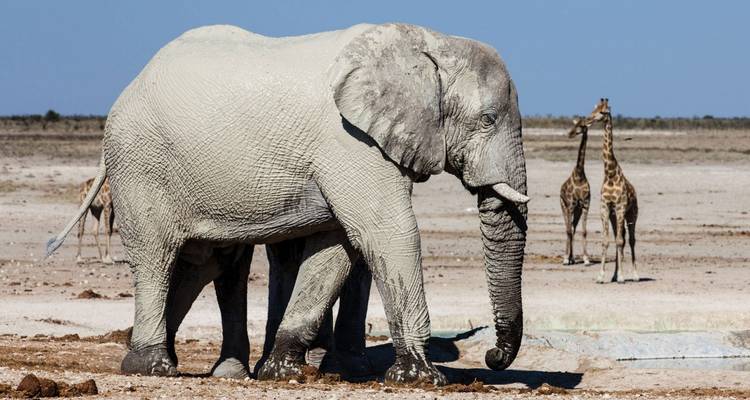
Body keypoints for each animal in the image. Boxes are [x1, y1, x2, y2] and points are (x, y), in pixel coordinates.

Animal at [47, 22, 528, 385]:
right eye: (488, 119)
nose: (493, 357)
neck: (428, 43)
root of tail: (130, 87)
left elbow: (337, 246)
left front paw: (281, 370)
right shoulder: (348, 141)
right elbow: (387, 232)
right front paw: (421, 378)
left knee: (209, 262)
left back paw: (216, 369)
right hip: (141, 165)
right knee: (158, 257)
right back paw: (152, 366)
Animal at [588, 98, 639, 283]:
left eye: (603, 112)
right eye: (593, 109)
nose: (588, 120)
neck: (610, 174)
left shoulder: (621, 207)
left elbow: (620, 241)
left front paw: (623, 276)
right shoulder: (605, 208)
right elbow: (606, 241)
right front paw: (601, 276)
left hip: (631, 214)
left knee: (630, 240)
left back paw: (635, 275)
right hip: (614, 216)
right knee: (620, 237)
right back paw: (615, 275)